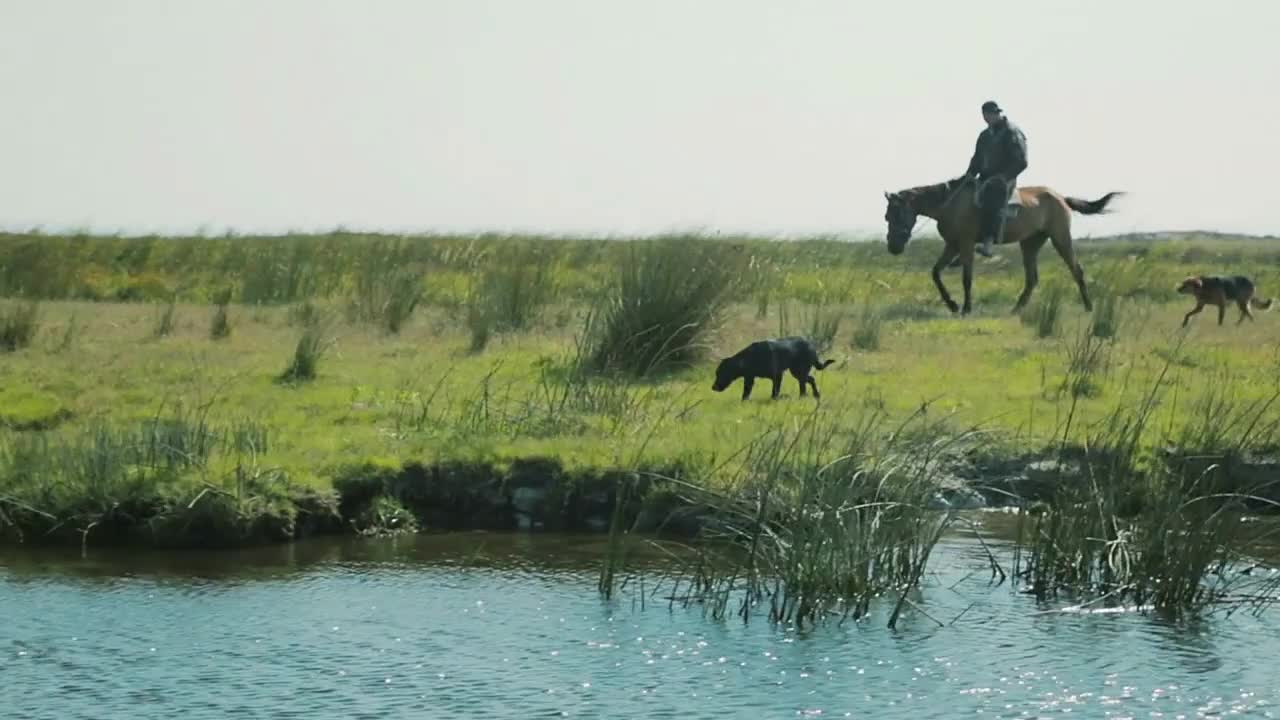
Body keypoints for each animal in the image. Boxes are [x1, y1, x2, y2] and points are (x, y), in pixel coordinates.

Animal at [706, 335, 834, 397]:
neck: (750, 358)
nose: (713, 387)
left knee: (805, 383)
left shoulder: (777, 375)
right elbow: (746, 393)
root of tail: (811, 345)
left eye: (721, 373)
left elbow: (775, 391)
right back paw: (813, 395)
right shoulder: (749, 378)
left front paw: (774, 399)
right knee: (810, 380)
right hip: (797, 372)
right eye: (716, 373)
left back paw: (805, 396)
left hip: (798, 371)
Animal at [880, 175, 1121, 313]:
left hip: (1060, 237)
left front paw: (966, 308)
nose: (893, 247)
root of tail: (1060, 197)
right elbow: (936, 273)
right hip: (1030, 244)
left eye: (897, 214)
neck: (950, 203)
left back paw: (1089, 307)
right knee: (1032, 278)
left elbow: (967, 278)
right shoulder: (952, 245)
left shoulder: (965, 244)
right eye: (887, 216)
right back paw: (1016, 309)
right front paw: (952, 304)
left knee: (1076, 270)